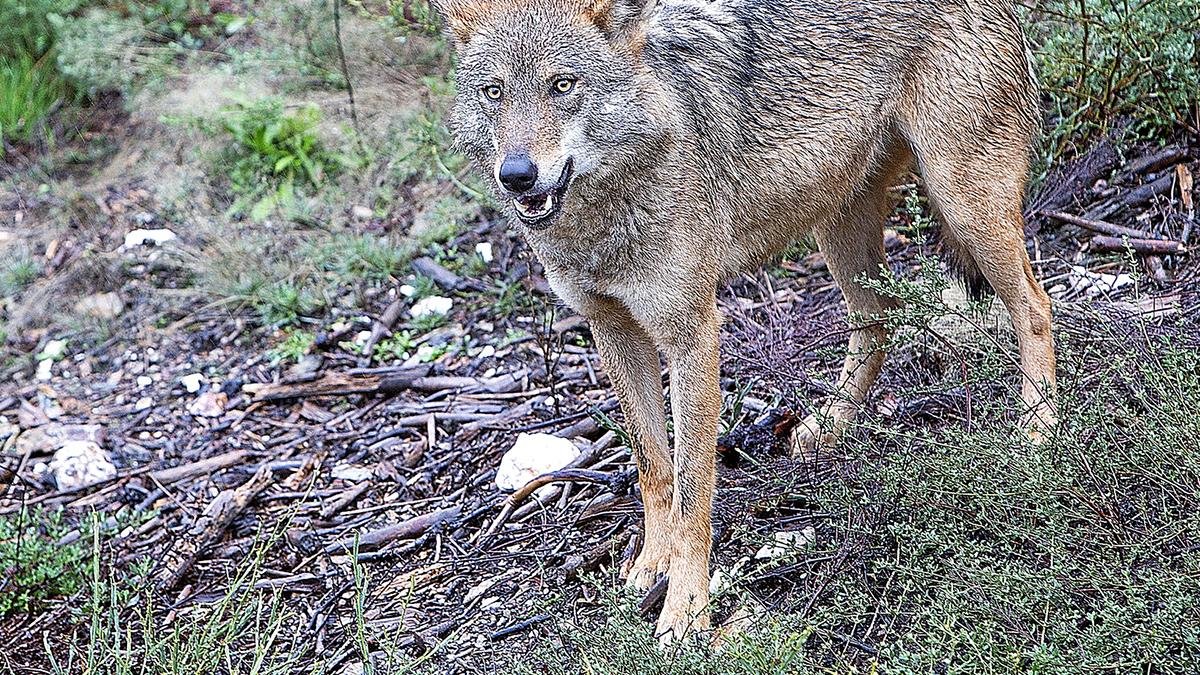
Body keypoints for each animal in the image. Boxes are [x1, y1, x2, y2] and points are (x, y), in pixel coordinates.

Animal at [436, 0, 1056, 638]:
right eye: (493, 92)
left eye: (563, 85)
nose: (516, 174)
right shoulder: (613, 333)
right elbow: (653, 468)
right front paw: (652, 563)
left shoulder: (692, 334)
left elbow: (692, 489)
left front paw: (685, 607)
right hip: (840, 227)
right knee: (877, 319)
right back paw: (831, 426)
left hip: (963, 207)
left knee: (1035, 307)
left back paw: (1038, 429)